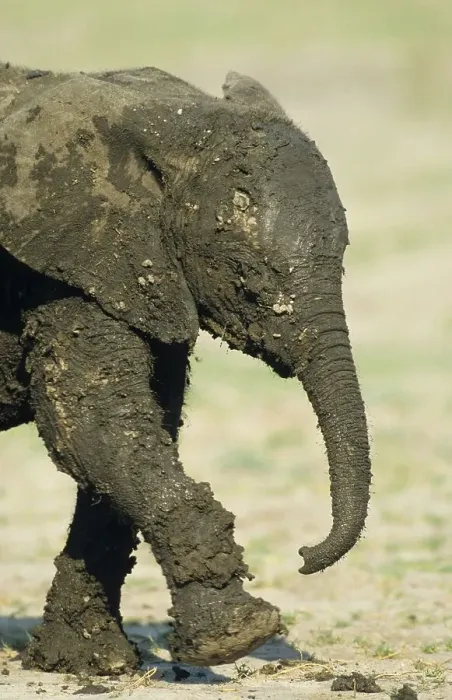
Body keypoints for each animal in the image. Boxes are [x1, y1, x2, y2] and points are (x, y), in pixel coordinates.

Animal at [0, 61, 371, 675]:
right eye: (247, 277)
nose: (302, 555)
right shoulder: (65, 268)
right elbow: (94, 428)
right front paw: (236, 637)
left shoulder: (141, 277)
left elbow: (140, 429)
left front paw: (88, 666)